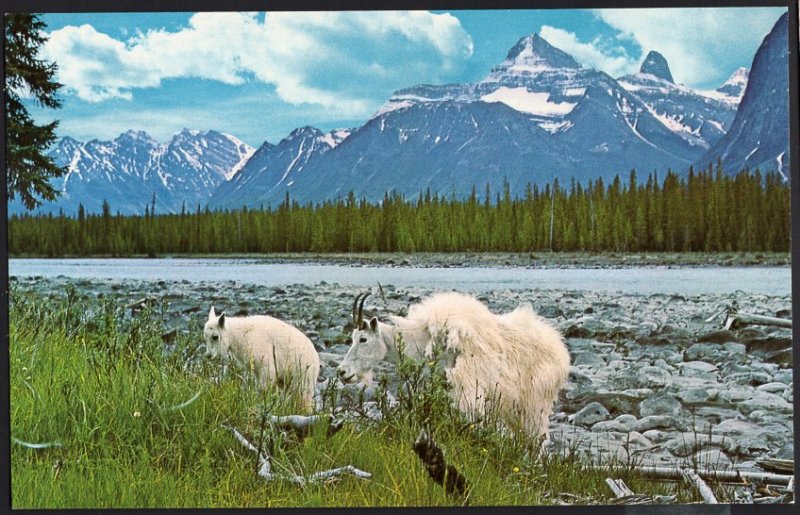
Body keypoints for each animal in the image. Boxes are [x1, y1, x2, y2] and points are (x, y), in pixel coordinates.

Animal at [336, 292, 568, 442]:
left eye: (363, 339)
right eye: (353, 338)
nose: (342, 372)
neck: (422, 341)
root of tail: (560, 351)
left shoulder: (468, 393)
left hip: (536, 405)